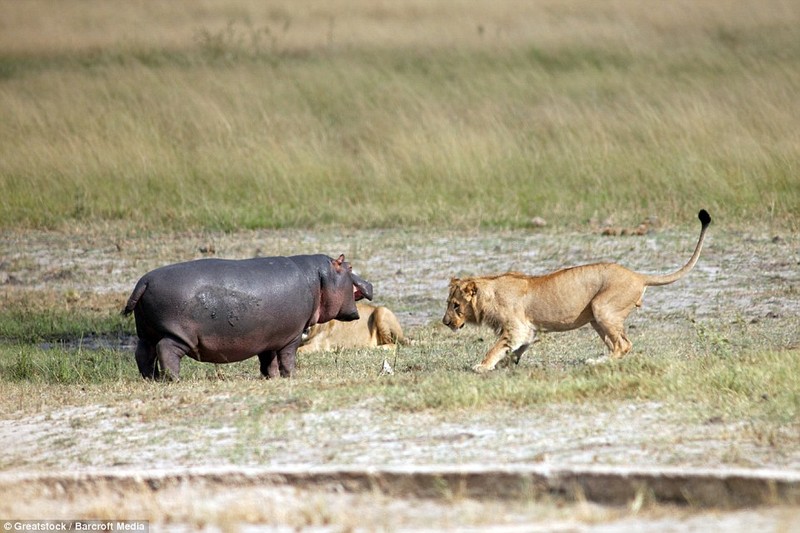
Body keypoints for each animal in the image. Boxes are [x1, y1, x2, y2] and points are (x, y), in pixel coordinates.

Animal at [122, 254, 376, 378]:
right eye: (349, 267)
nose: (370, 284)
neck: (319, 278)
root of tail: (144, 281)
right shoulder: (292, 336)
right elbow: (287, 357)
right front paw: (292, 376)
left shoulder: (272, 336)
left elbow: (268, 359)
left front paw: (270, 377)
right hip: (178, 334)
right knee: (166, 350)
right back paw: (174, 379)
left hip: (146, 331)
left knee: (144, 353)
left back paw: (151, 378)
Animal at [444, 210, 712, 372]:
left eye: (455, 305)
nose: (445, 322)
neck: (489, 292)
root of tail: (637, 275)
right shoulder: (527, 329)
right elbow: (515, 348)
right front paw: (507, 363)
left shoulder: (516, 326)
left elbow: (497, 346)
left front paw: (482, 366)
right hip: (596, 317)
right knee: (618, 345)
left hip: (602, 308)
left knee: (624, 345)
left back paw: (595, 362)